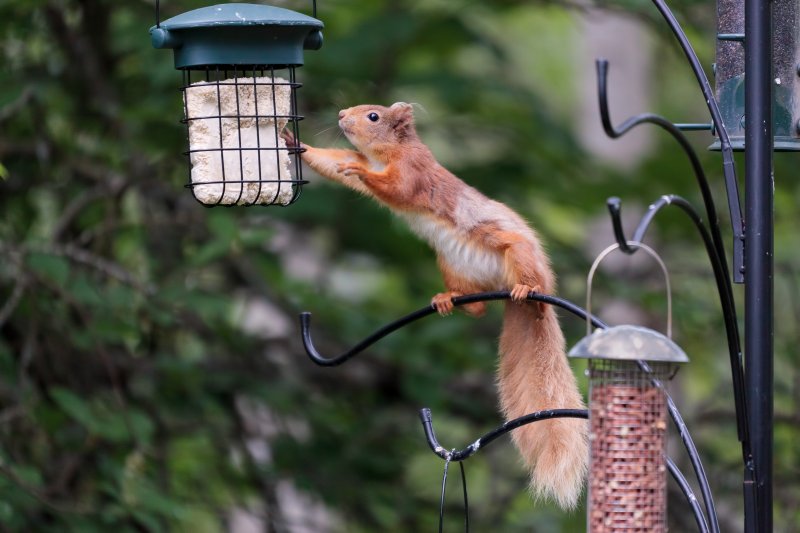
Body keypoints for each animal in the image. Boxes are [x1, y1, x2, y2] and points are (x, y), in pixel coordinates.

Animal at [284, 103, 592, 508]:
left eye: (373, 116)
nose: (341, 113)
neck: (387, 154)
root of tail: (506, 287)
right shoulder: (359, 157)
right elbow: (334, 163)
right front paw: (294, 141)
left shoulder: (414, 171)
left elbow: (395, 187)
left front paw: (361, 172)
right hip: (451, 265)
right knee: (477, 309)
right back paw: (449, 300)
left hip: (517, 252)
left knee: (531, 287)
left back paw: (530, 294)